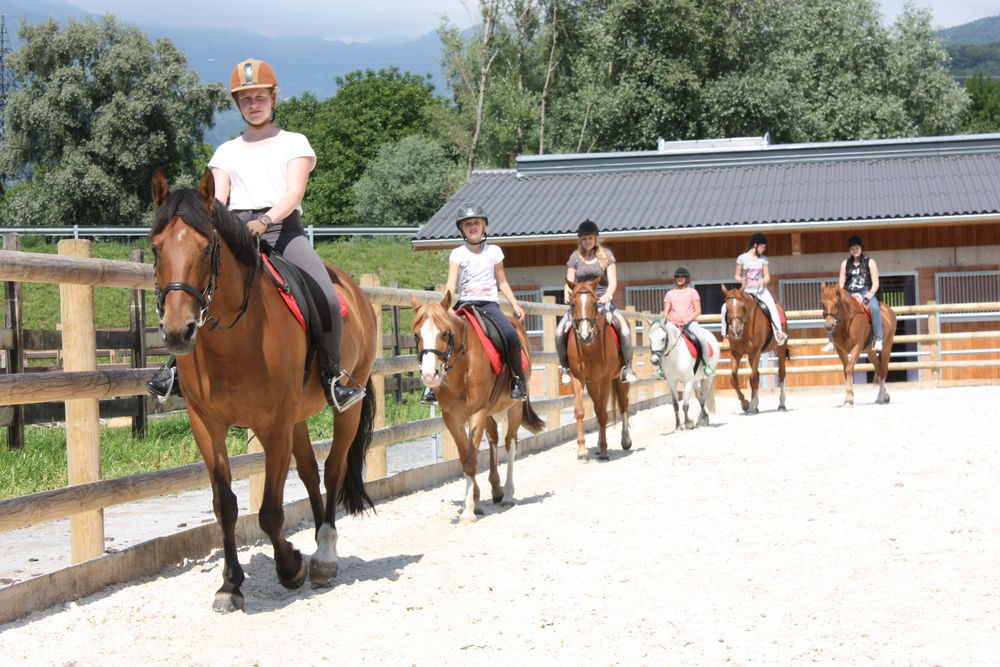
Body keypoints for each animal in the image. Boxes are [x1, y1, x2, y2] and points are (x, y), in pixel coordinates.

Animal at [150, 170, 376, 612]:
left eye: (208, 247)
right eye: (155, 247)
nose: (178, 331)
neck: (234, 339)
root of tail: (355, 291)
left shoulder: (273, 425)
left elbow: (270, 510)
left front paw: (290, 566)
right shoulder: (206, 425)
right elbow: (225, 506)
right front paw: (230, 584)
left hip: (345, 408)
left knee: (334, 468)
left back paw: (324, 557)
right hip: (297, 418)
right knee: (309, 473)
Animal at [410, 292, 544, 520]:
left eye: (445, 333)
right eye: (417, 336)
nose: (429, 375)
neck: (462, 366)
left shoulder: (477, 413)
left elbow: (472, 461)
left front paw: (468, 511)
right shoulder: (451, 418)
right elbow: (466, 458)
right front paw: (474, 501)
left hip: (514, 408)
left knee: (510, 443)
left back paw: (508, 494)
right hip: (490, 412)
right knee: (493, 439)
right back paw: (496, 490)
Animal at [568, 276, 628, 460]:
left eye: (594, 303)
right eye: (573, 304)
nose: (585, 335)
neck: (589, 348)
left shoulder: (605, 380)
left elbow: (603, 414)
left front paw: (604, 450)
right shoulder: (578, 378)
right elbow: (581, 411)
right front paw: (582, 450)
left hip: (620, 379)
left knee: (623, 404)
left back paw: (626, 441)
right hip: (592, 384)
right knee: (598, 406)